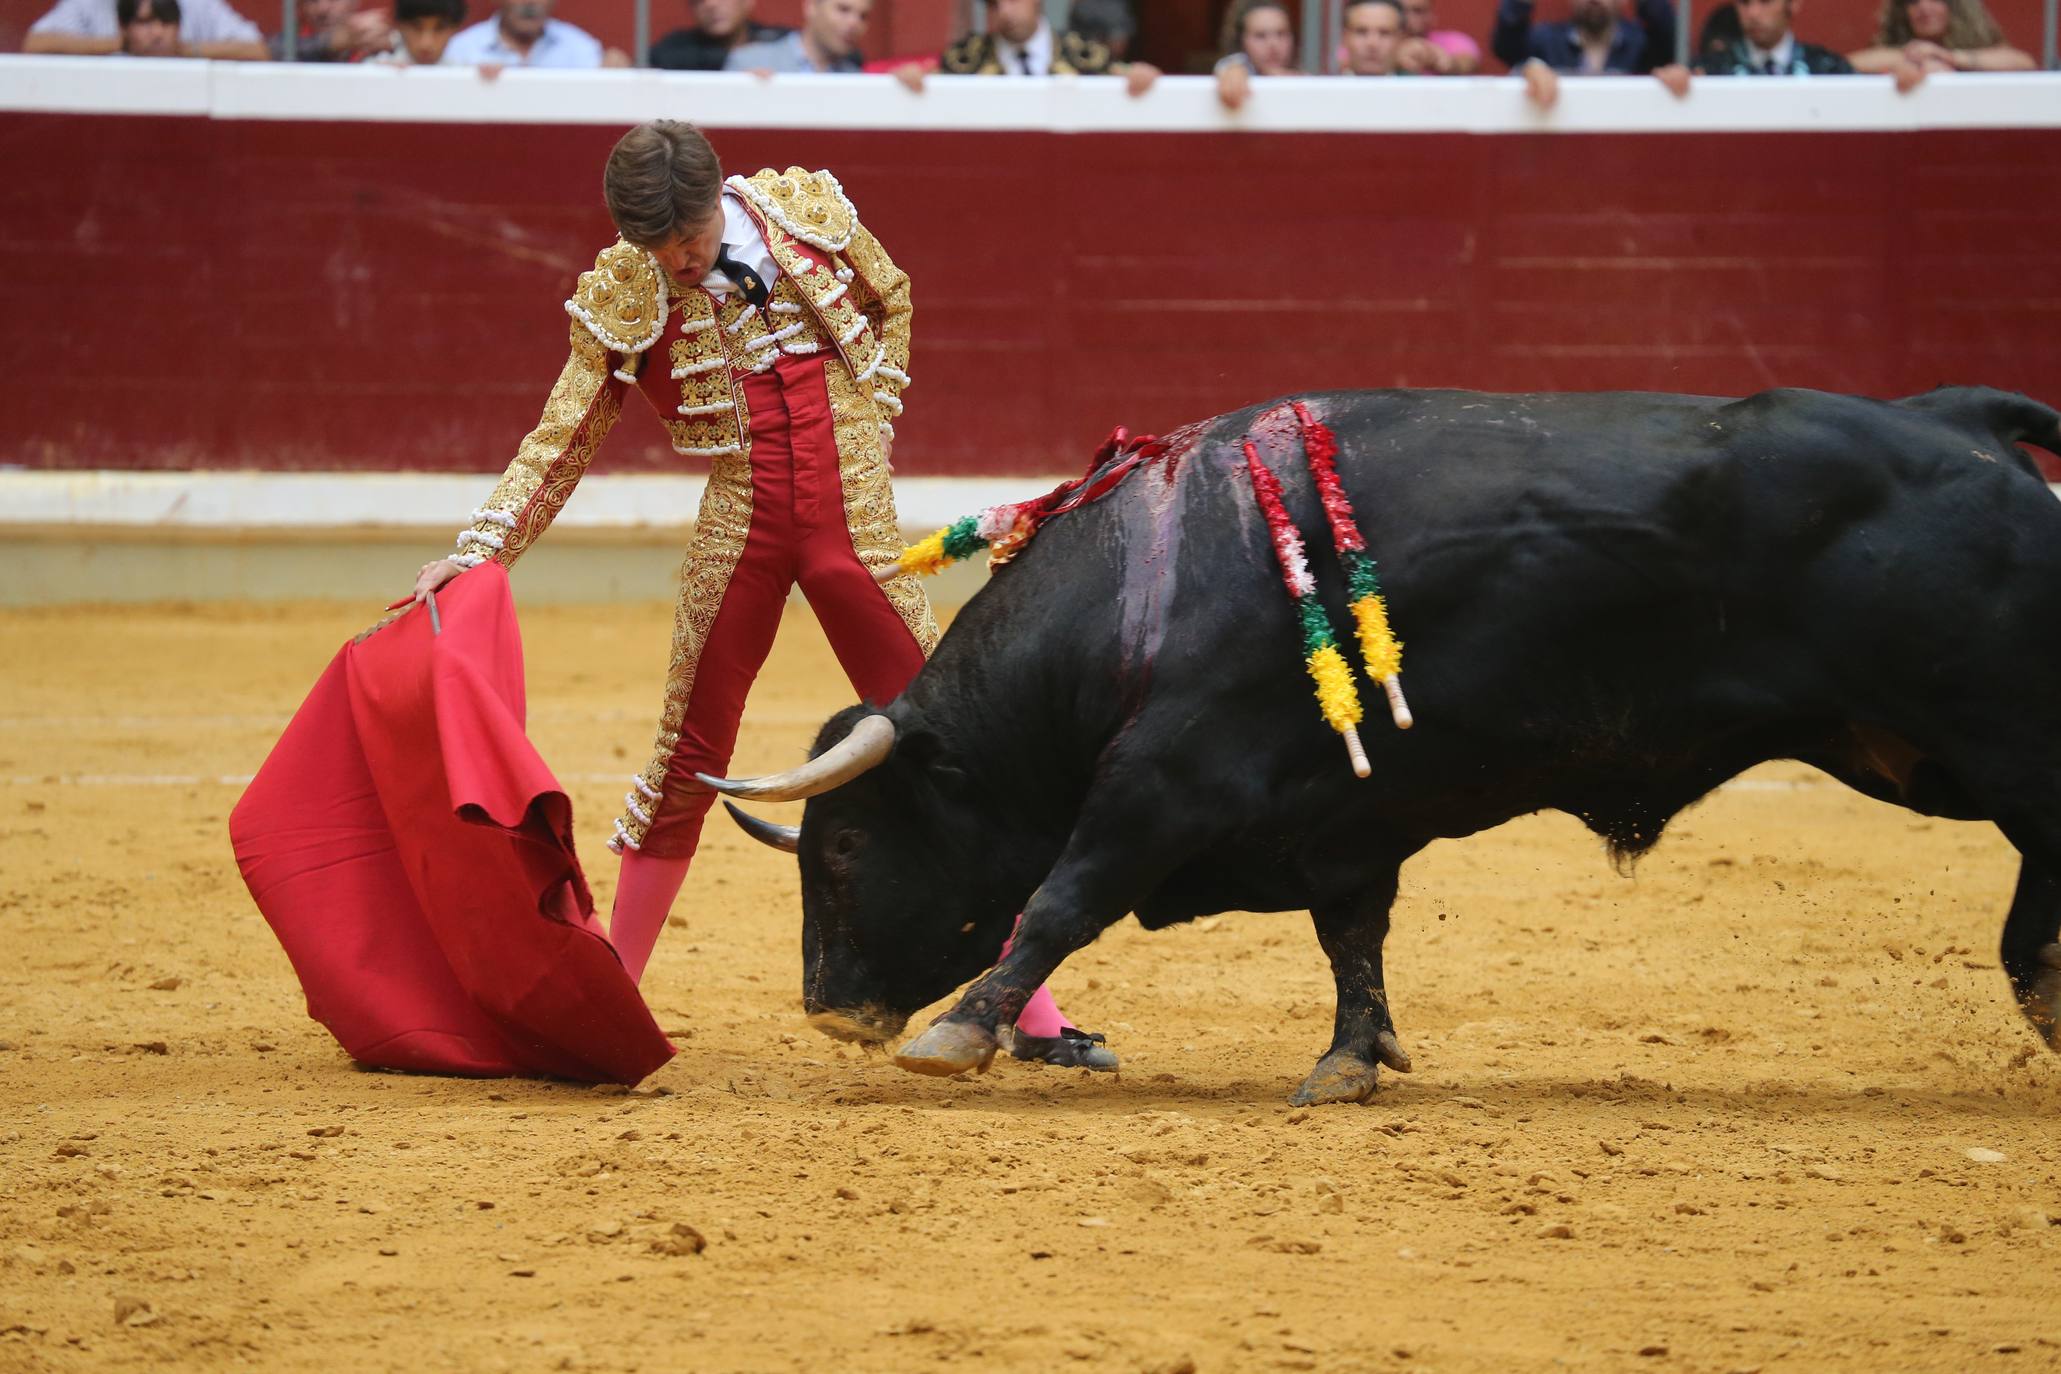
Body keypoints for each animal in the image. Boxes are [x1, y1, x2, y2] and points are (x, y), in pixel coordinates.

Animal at [708, 387, 2061, 1104]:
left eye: (843, 851)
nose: (827, 1011)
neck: (1148, 598)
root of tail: (1961, 417)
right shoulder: (1344, 825)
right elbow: (1352, 942)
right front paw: (1351, 1063)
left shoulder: (1161, 785)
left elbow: (1059, 899)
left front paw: (958, 1032)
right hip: (1916, 752)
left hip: (1998, 737)